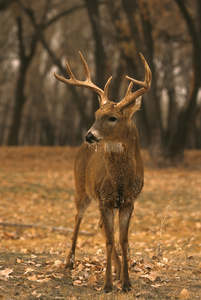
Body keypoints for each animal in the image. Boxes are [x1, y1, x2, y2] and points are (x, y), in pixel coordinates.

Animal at [54, 52, 152, 292]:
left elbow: (123, 240)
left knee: (102, 227)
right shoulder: (104, 199)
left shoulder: (128, 201)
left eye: (112, 117)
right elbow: (109, 240)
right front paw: (107, 284)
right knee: (77, 219)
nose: (89, 135)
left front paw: (126, 283)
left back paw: (117, 270)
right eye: (97, 113)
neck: (120, 181)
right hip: (82, 189)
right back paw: (69, 263)